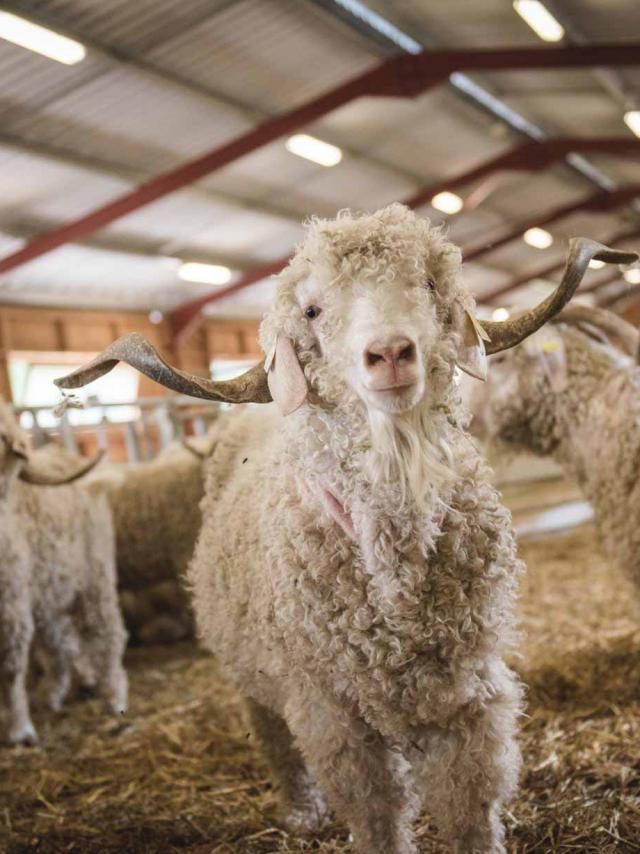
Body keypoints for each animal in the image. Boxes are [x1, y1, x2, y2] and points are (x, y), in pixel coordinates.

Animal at [0, 402, 127, 744]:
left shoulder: (12, 605)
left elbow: (11, 667)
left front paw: (20, 730)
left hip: (96, 577)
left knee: (108, 633)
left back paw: (115, 697)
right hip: (49, 595)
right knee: (63, 646)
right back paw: (57, 694)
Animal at [56, 204, 636, 852]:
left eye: (428, 283)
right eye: (312, 310)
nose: (391, 352)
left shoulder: (471, 698)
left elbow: (469, 809)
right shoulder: (334, 715)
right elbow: (376, 815)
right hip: (249, 669)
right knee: (271, 734)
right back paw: (301, 811)